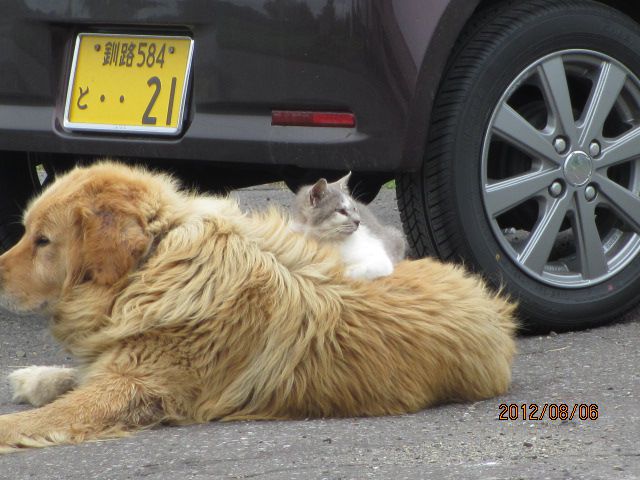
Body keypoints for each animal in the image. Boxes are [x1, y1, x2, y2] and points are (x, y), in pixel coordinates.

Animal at [0, 161, 516, 450]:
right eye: (26, 233)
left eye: (42, 241)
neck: (152, 266)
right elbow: (77, 377)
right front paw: (38, 378)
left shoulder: (138, 385)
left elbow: (52, 414)